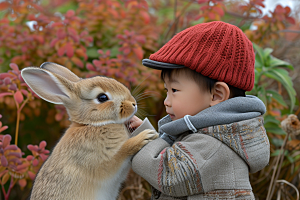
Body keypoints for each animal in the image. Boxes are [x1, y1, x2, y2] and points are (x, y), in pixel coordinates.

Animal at [21, 62, 158, 200]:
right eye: (102, 97)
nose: (133, 104)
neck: (90, 124)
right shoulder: (98, 160)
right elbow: (120, 154)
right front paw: (145, 136)